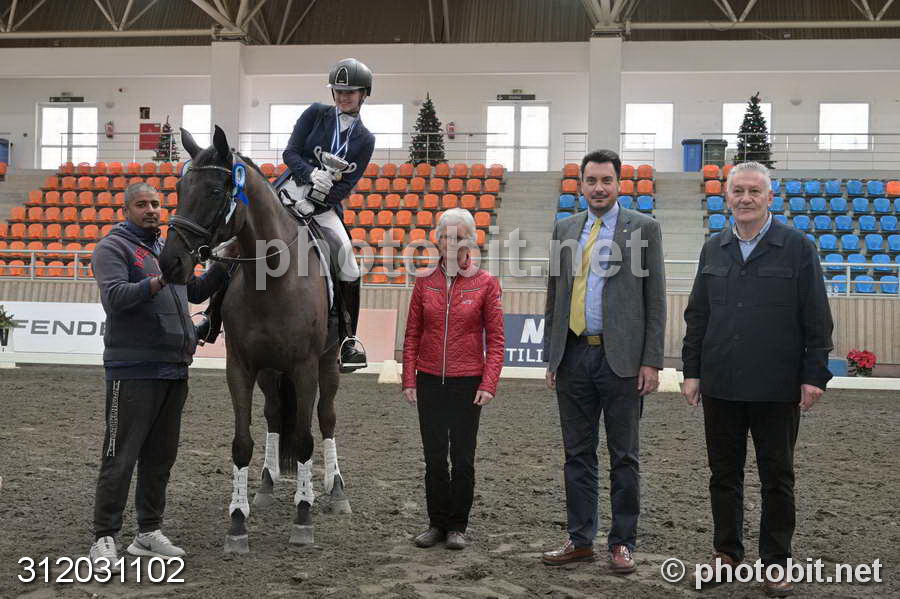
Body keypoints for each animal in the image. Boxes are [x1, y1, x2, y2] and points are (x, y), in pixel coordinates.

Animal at [159, 125, 350, 553]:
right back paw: (264, 483)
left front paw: (303, 517)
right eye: (179, 188)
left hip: (328, 363)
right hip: (269, 371)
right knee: (275, 415)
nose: (170, 262)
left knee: (327, 419)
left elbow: (306, 439)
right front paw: (237, 522)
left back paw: (336, 490)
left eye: (216, 190)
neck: (272, 278)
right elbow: (242, 442)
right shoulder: (242, 366)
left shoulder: (305, 366)